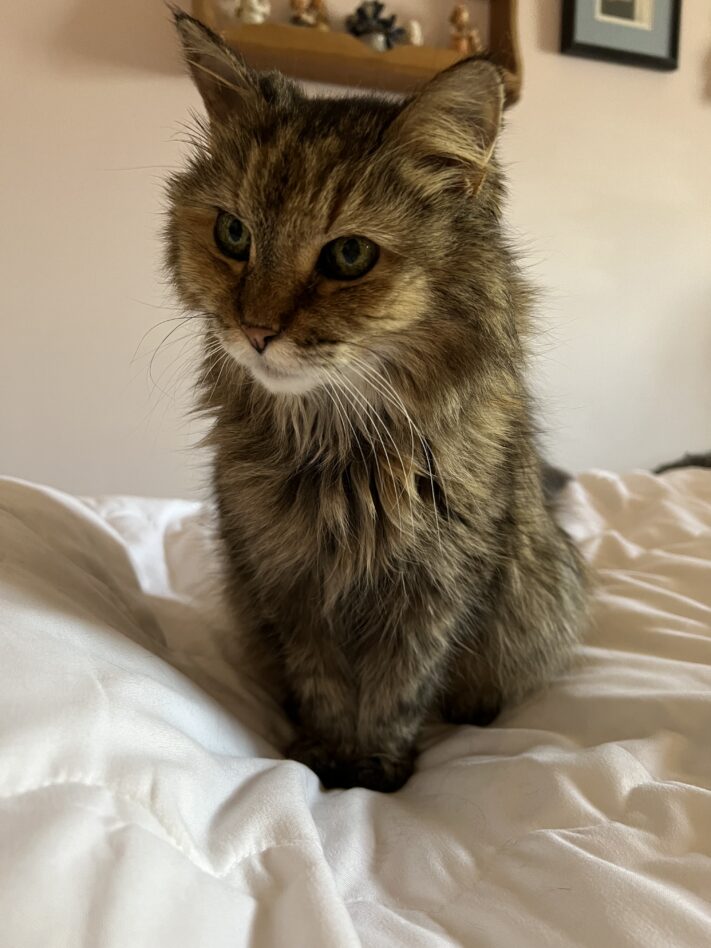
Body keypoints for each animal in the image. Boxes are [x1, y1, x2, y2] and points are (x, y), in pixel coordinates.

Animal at [167, 14, 588, 792]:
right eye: (233, 235)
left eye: (349, 256)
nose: (255, 331)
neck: (343, 451)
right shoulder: (289, 587)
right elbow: (324, 687)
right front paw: (327, 757)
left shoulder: (437, 590)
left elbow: (399, 691)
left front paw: (377, 768)